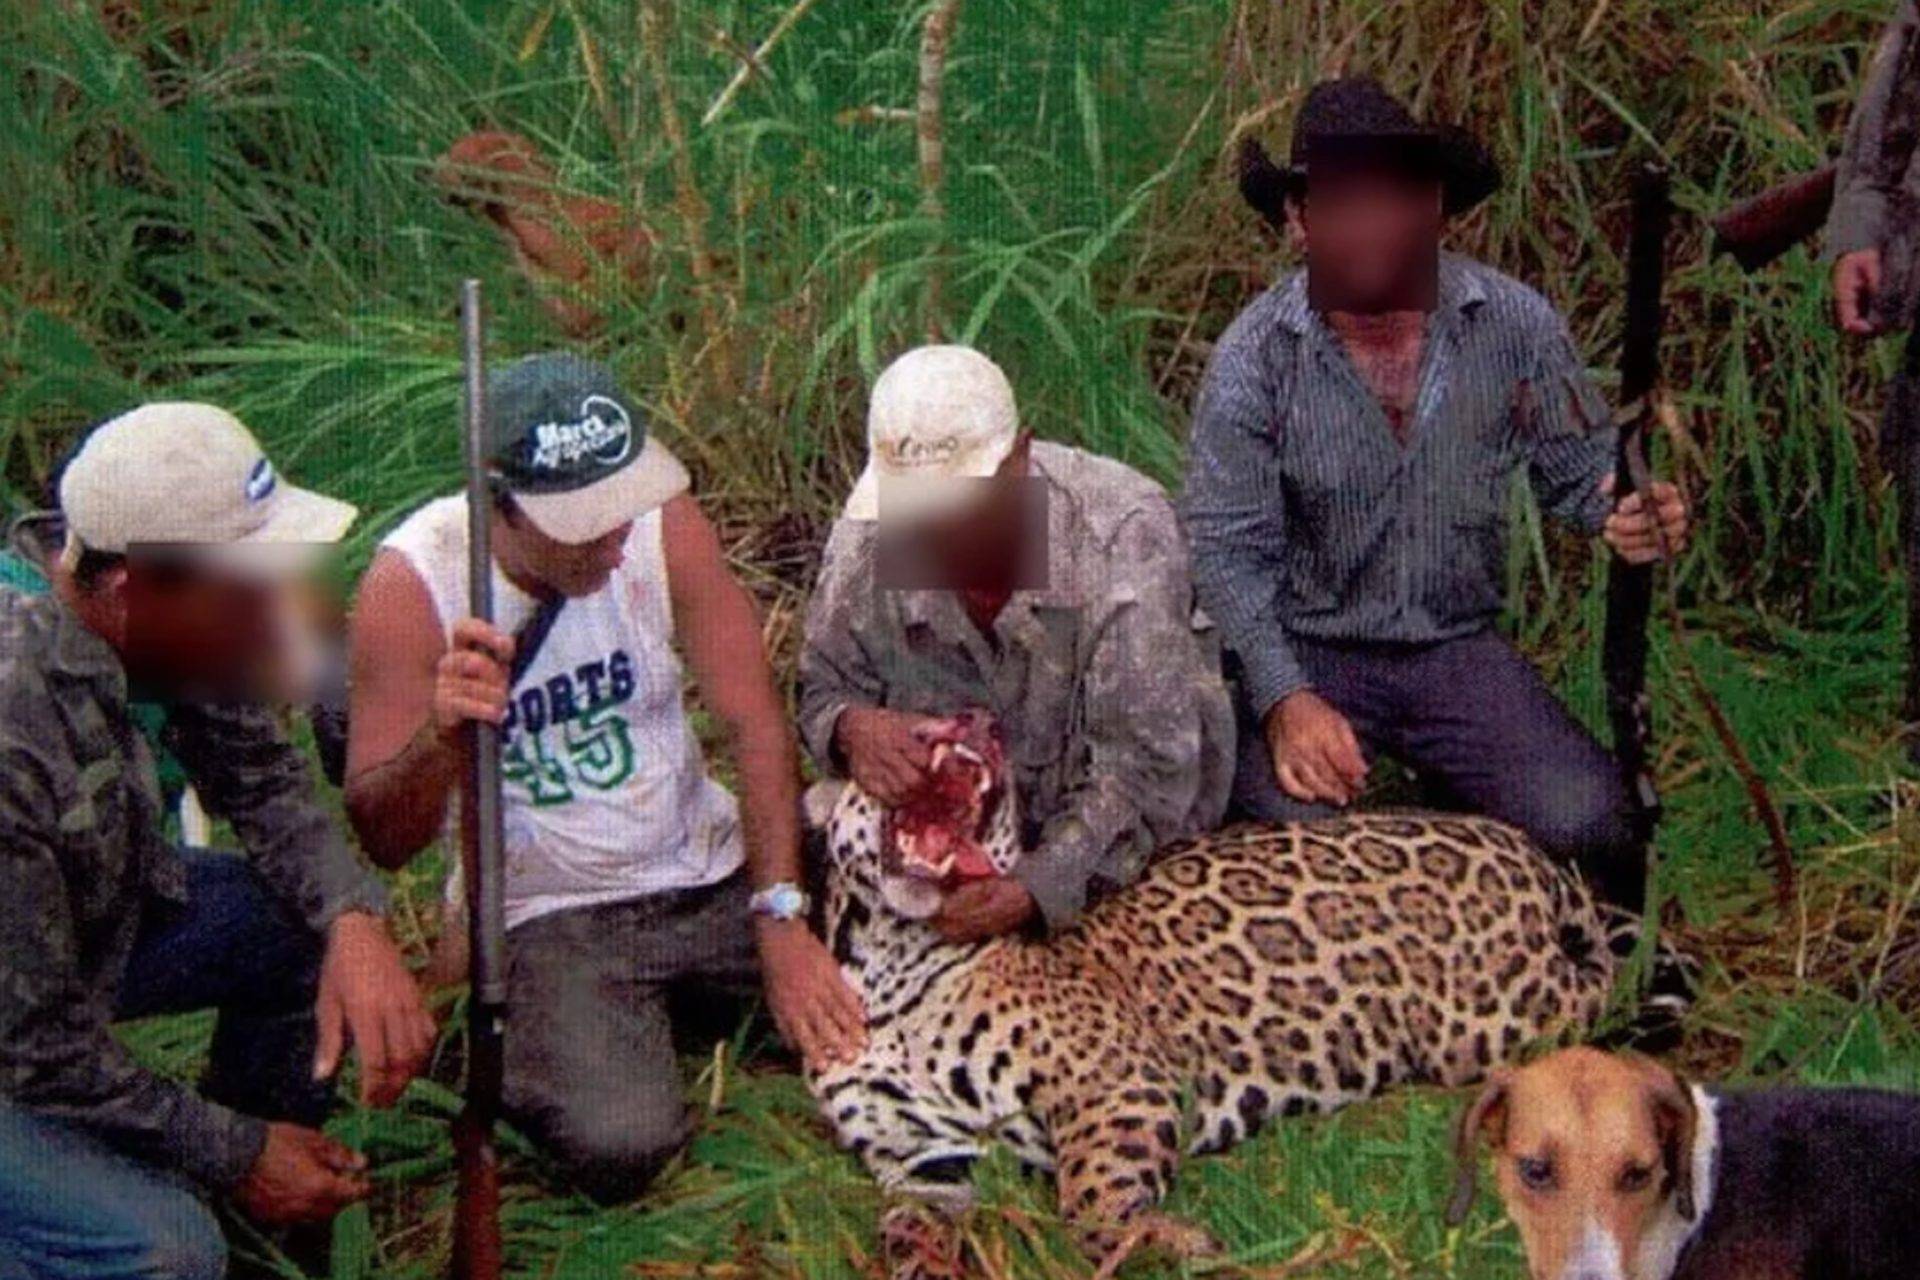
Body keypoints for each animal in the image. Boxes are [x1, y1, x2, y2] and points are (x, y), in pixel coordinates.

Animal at [804, 711, 1617, 1269]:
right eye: (917, 719)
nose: (981, 721)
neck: (890, 964)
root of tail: (1523, 849)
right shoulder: (922, 1160)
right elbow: (905, 1230)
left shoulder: (1116, 1080)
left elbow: (1091, 1201)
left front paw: (1167, 1241)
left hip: (1495, 1019)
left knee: (1605, 978)